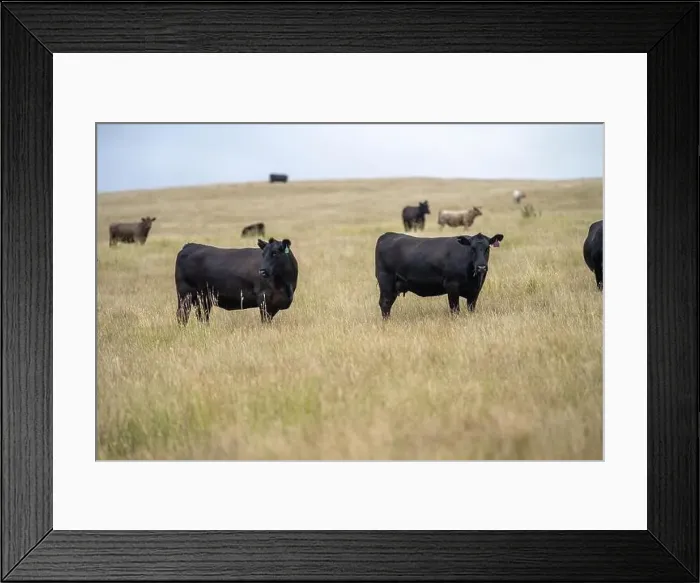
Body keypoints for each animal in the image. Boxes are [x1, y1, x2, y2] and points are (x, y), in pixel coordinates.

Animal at [374, 231, 504, 319]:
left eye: (487, 248)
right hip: (386, 281)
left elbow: (471, 308)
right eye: (472, 248)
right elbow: (455, 309)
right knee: (385, 303)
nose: (481, 267)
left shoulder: (475, 291)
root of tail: (388, 235)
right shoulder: (452, 286)